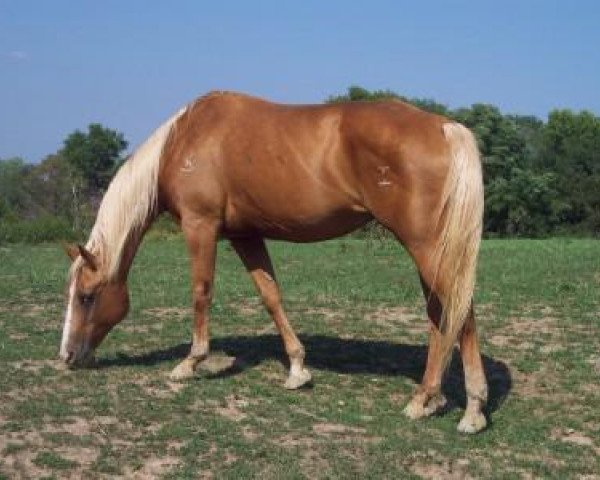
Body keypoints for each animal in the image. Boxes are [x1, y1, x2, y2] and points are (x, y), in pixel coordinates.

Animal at [59, 90, 488, 432]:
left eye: (86, 296)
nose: (67, 357)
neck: (184, 140)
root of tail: (445, 127)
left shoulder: (201, 226)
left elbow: (201, 292)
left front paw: (191, 362)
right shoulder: (245, 236)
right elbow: (270, 295)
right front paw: (297, 369)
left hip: (427, 248)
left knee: (461, 312)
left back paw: (469, 410)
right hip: (432, 251)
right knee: (441, 317)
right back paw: (428, 399)